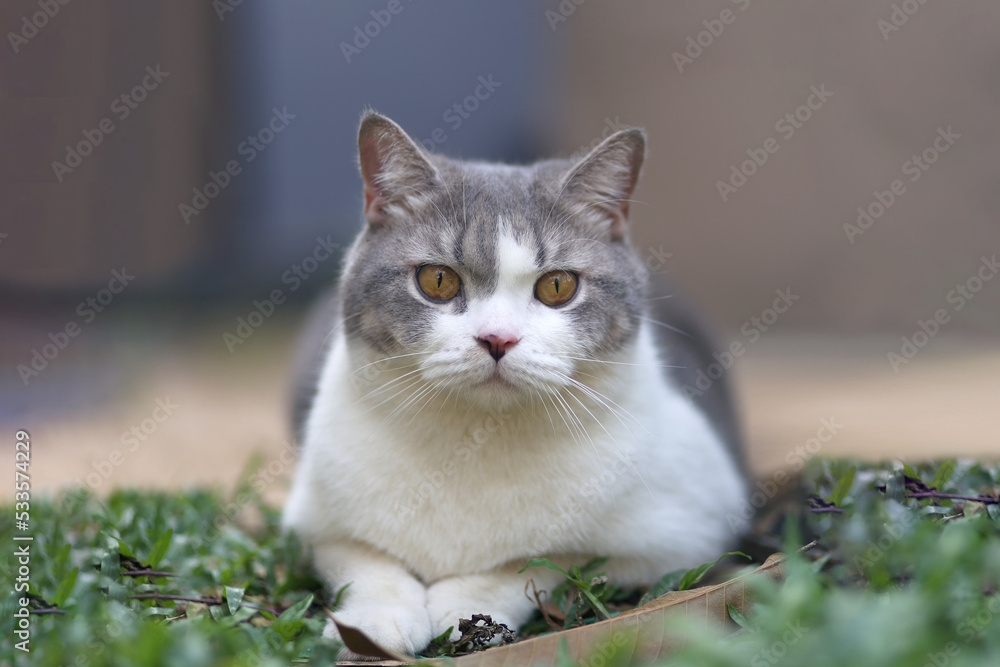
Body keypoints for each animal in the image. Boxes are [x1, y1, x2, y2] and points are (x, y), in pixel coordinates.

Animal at [282, 112, 752, 660]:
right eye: (437, 280)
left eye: (558, 287)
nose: (498, 338)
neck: (476, 438)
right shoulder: (314, 519)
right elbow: (364, 558)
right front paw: (373, 625)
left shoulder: (690, 530)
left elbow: (548, 560)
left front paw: (464, 604)